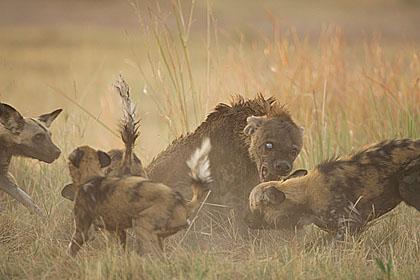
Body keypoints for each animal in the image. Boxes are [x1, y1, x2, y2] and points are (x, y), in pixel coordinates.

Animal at [67, 139, 212, 258]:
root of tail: (184, 203)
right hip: (158, 236)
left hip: (141, 226)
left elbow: (71, 250)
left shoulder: (82, 231)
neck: (91, 176)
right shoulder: (118, 230)